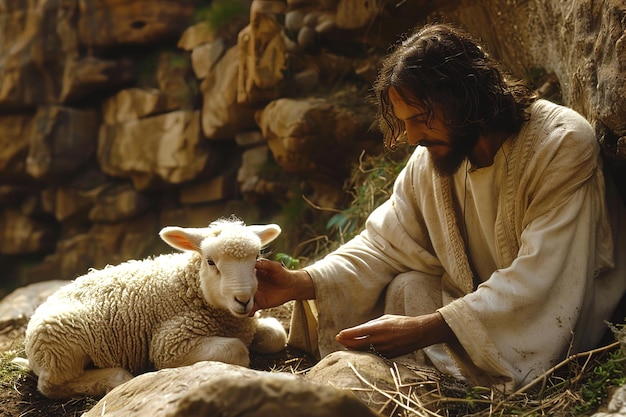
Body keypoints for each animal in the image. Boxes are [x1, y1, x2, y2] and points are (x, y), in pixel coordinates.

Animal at [23, 216, 288, 398]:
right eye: (211, 262)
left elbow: (277, 335)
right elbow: (237, 350)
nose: (243, 299)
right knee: (51, 384)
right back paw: (116, 377)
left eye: (256, 259)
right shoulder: (170, 343)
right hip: (59, 345)